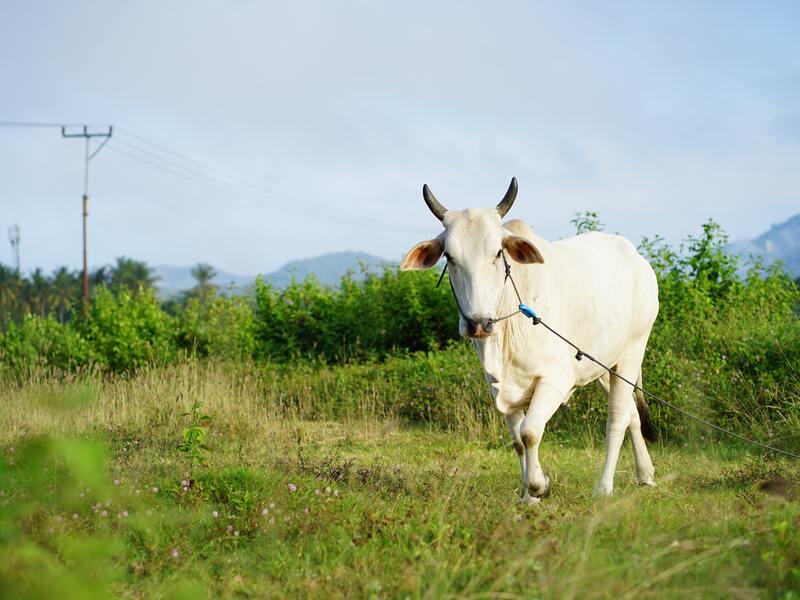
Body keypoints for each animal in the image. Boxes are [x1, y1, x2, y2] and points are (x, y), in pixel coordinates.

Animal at [404, 179, 660, 502]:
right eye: (449, 257)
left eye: (497, 253)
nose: (478, 323)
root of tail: (638, 260)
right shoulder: (498, 386)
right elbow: (517, 441)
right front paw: (529, 494)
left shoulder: (555, 380)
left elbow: (530, 432)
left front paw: (539, 486)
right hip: (604, 364)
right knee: (631, 415)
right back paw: (645, 474)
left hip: (632, 353)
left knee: (616, 419)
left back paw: (604, 488)